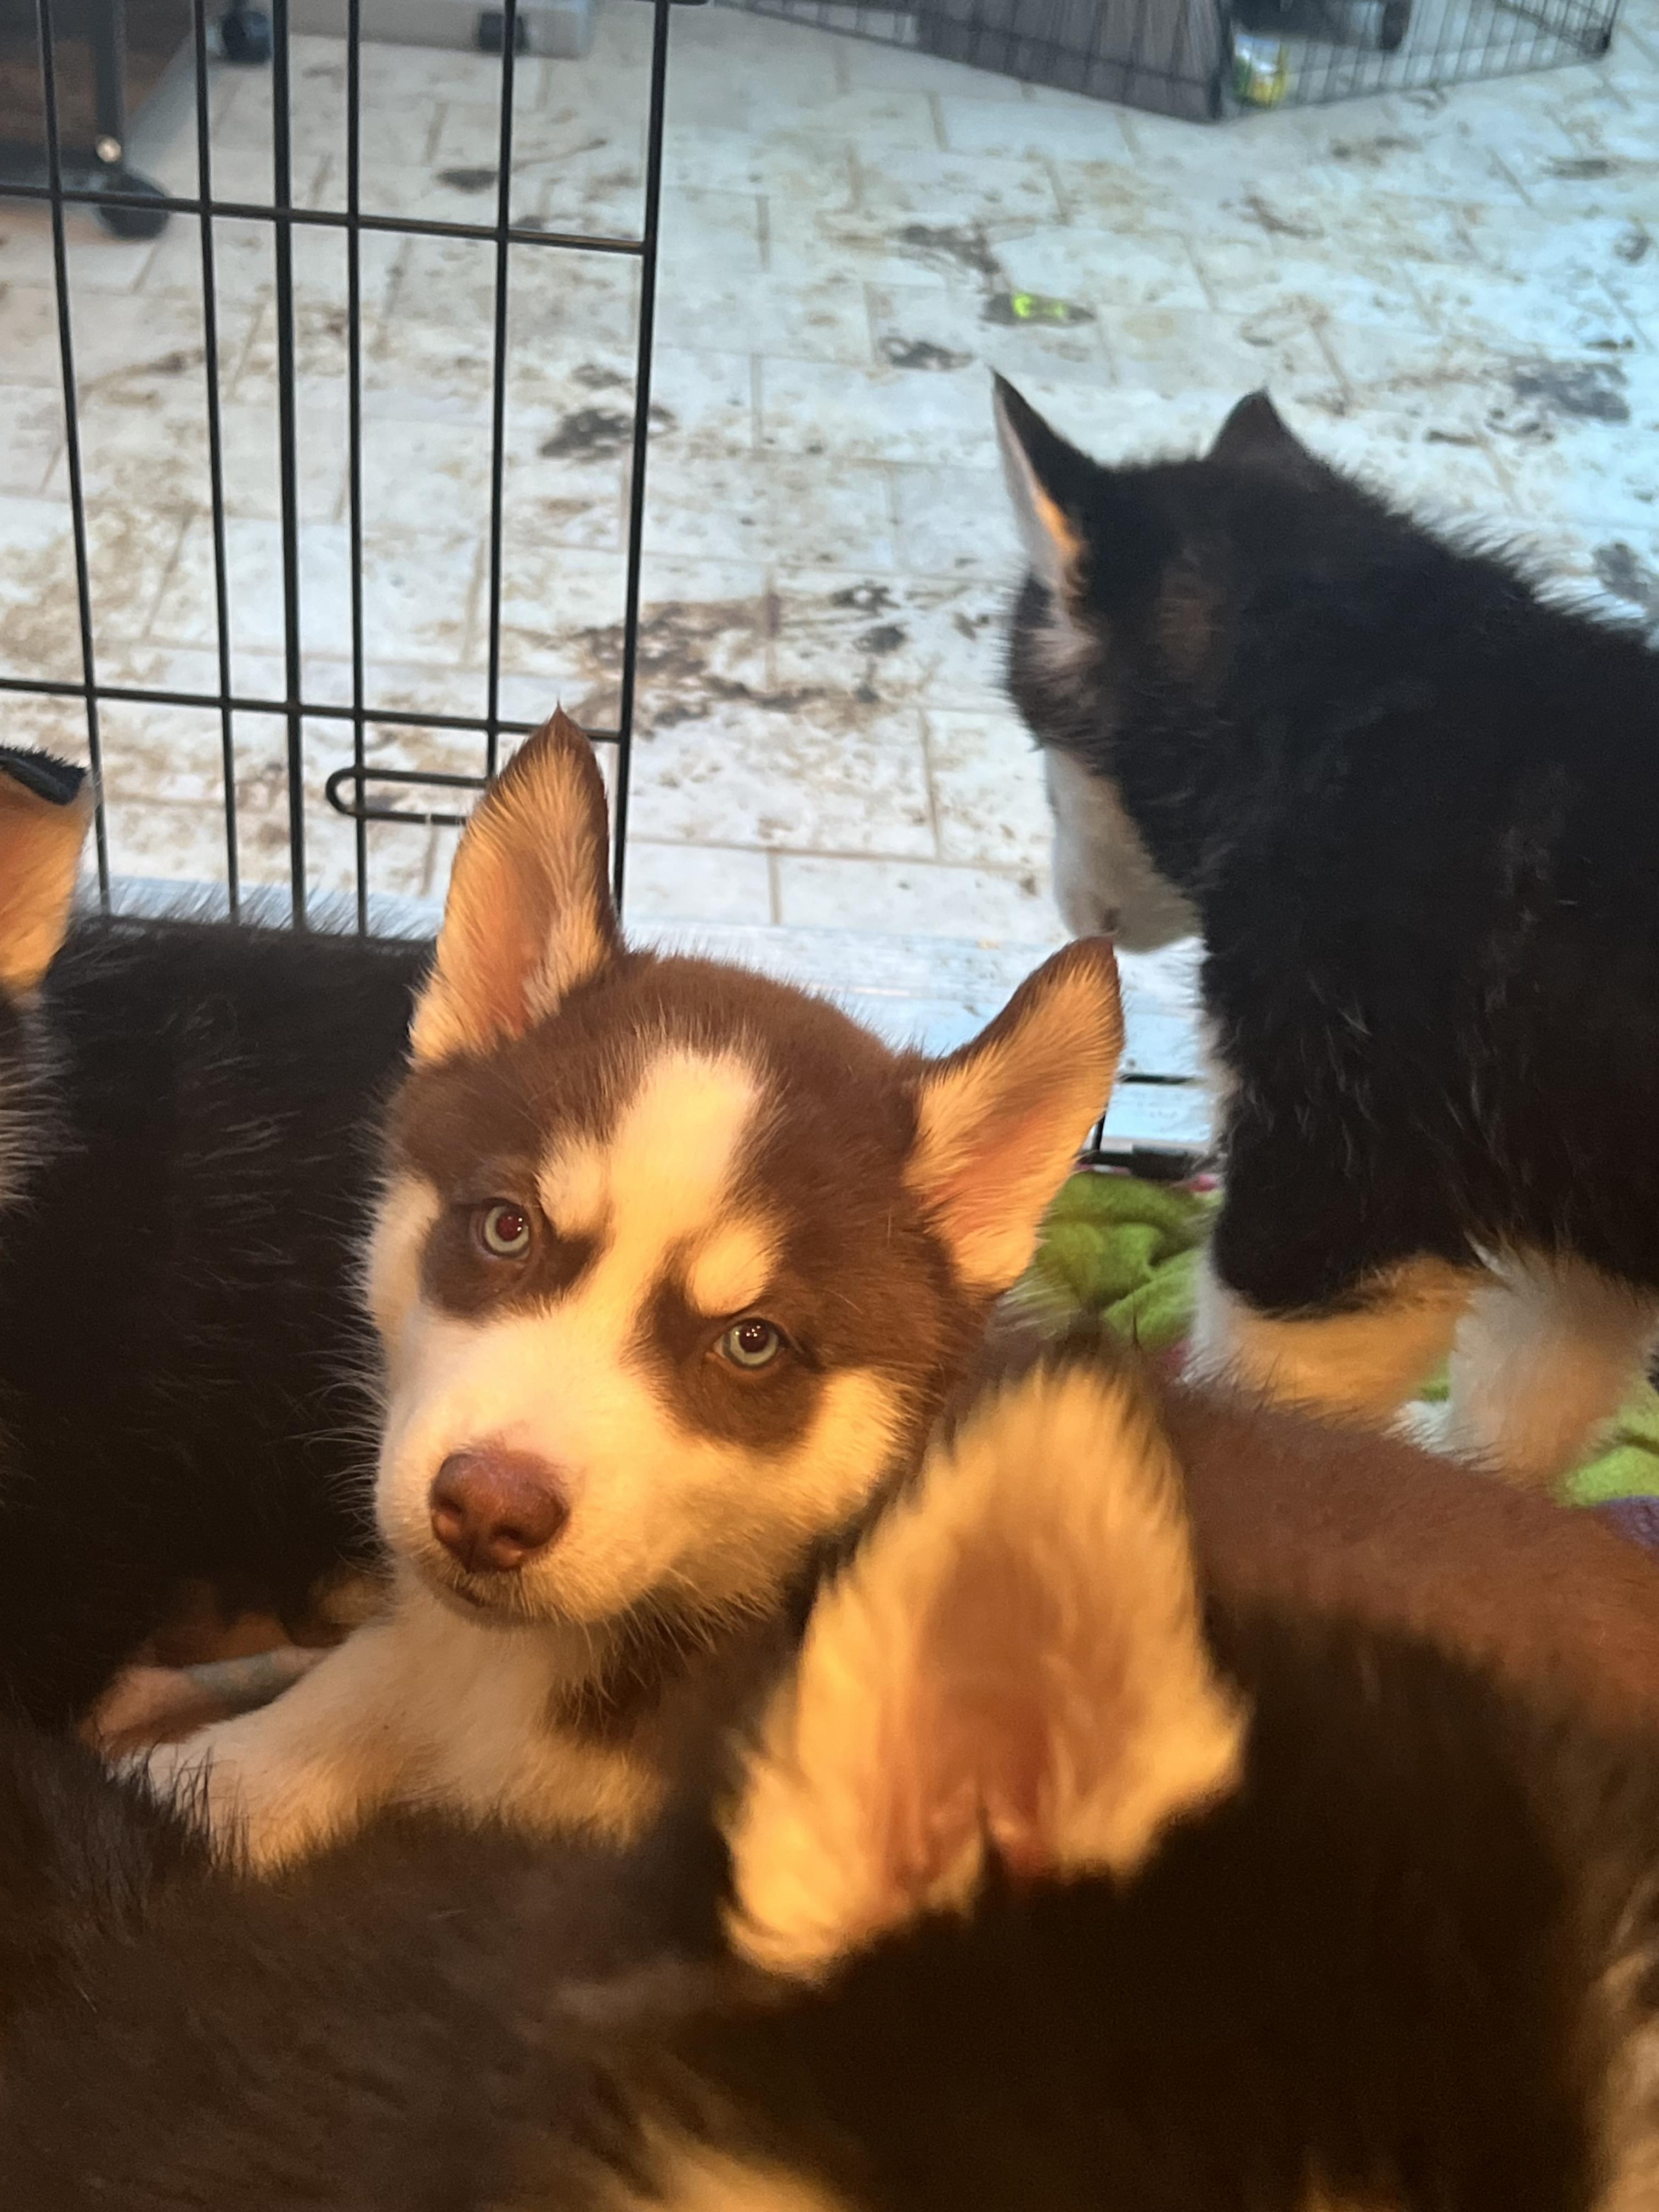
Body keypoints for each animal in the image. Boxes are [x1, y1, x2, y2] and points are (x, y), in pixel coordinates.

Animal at [994, 377, 1659, 1489]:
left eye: (1045, 758)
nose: (1071, 912)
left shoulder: (1337, 1175)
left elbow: (1267, 1393)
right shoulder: (1568, 1225)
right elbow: (1530, 1387)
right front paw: (1467, 1485)